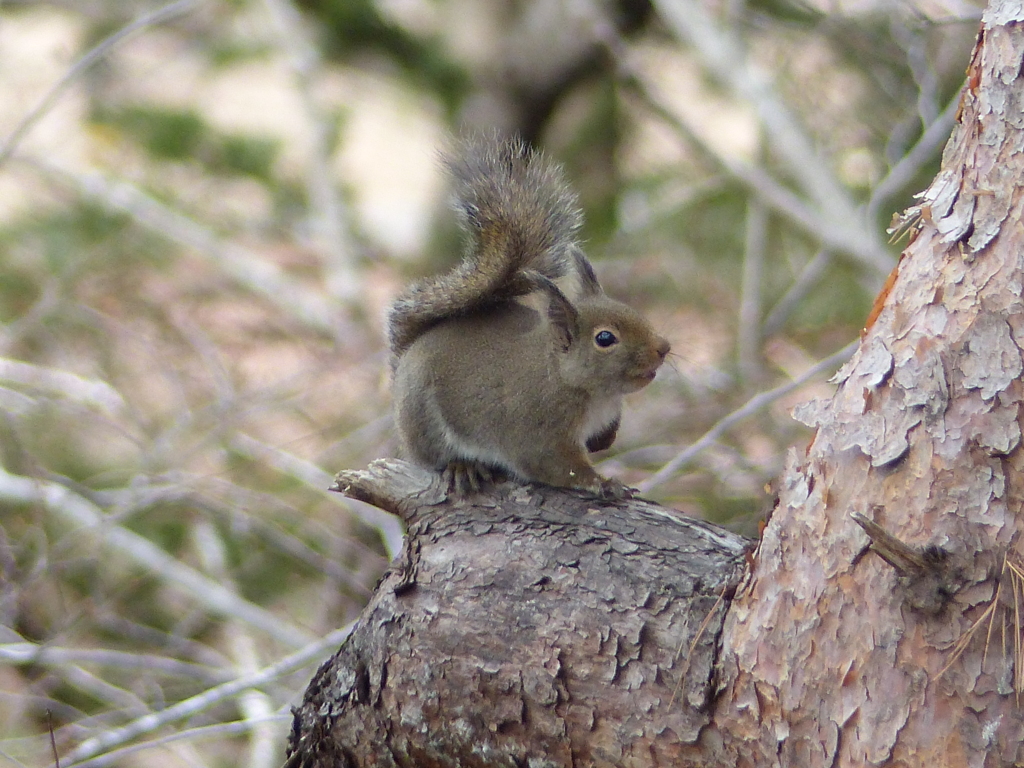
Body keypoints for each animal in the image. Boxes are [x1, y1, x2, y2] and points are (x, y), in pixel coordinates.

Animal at [385, 137, 671, 499]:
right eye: (605, 338)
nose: (664, 347)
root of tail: (405, 361)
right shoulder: (539, 433)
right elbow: (560, 467)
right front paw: (605, 484)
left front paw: (605, 444)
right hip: (423, 419)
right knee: (433, 456)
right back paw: (462, 466)